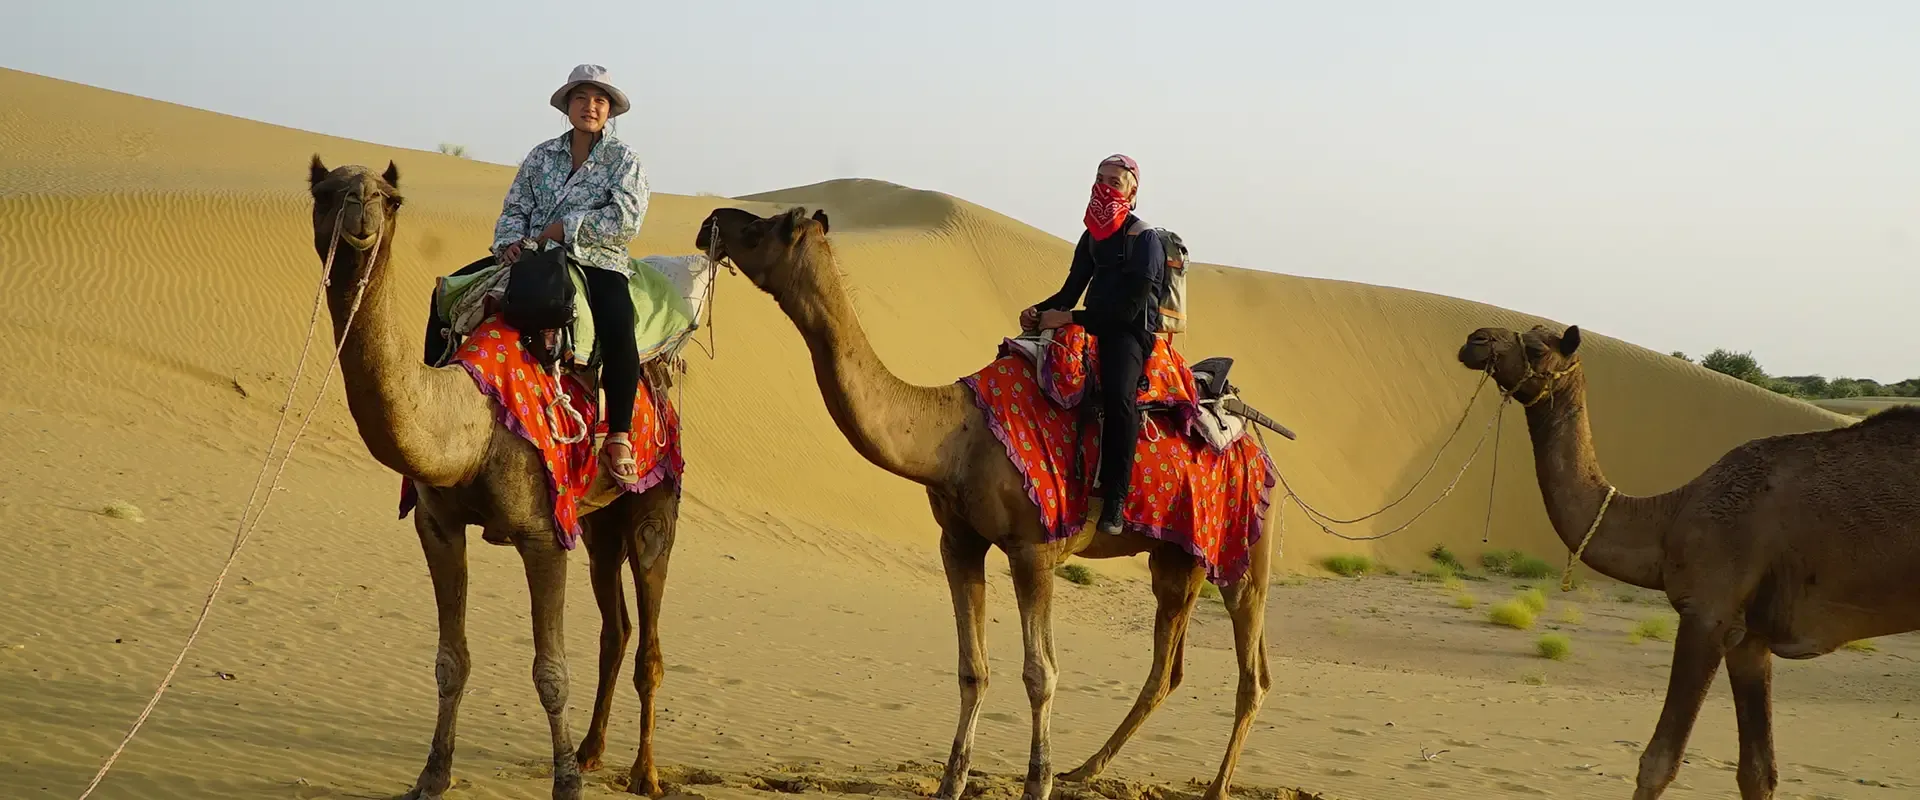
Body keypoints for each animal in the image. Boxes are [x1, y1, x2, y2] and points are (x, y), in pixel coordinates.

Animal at [307, 157, 683, 799]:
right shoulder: (437, 526)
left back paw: (645, 772)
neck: (473, 424)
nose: (360, 209)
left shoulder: (541, 532)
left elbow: (550, 672)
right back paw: (590, 751)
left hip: (654, 500)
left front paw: (564, 784)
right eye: (324, 192)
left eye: (391, 197)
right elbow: (449, 661)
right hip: (599, 521)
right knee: (616, 630)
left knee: (650, 638)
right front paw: (431, 776)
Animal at [696, 205, 1275, 800]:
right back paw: (1085, 770)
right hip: (1174, 558)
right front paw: (952, 782)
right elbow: (972, 669)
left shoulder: (1033, 550)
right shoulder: (959, 542)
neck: (952, 435)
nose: (712, 218)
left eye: (763, 227)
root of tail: (1252, 439)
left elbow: (1041, 673)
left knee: (1244, 671)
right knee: (1178, 670)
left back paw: (1211, 787)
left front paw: (1037, 782)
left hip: (1237, 549)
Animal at [1457, 323, 1920, 800]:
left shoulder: (1706, 611)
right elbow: (1757, 772)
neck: (1669, 516)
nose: (1476, 339)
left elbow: (1658, 762)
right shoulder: (1749, 638)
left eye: (1535, 348)